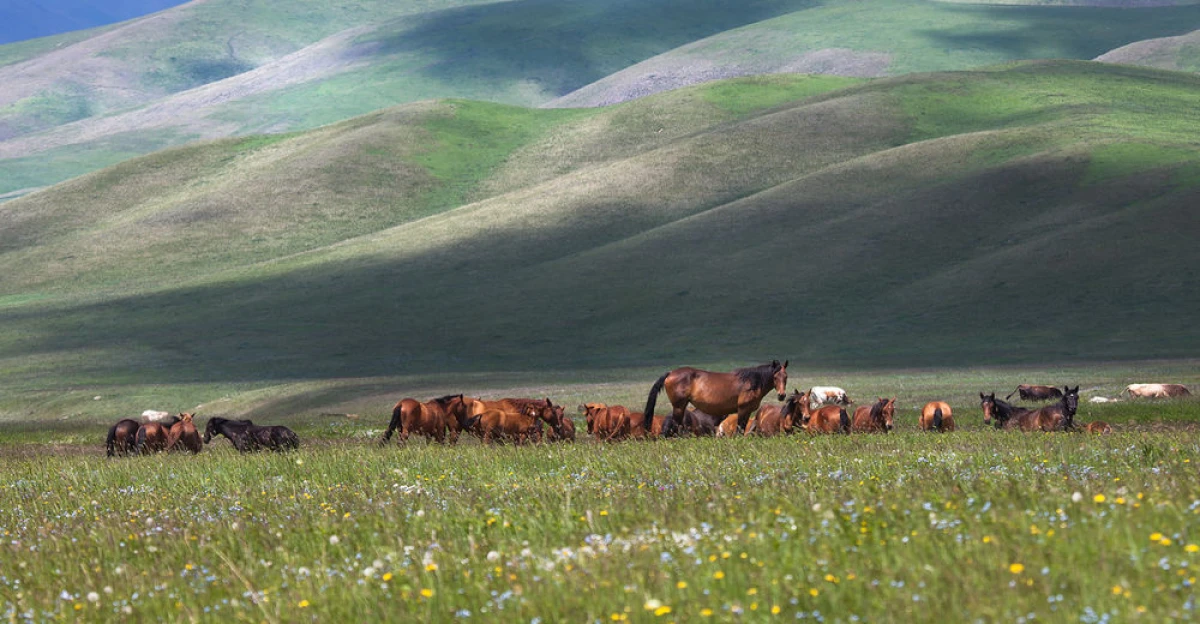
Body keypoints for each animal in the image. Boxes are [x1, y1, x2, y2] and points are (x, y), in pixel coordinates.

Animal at [648, 357, 787, 436]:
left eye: (785, 377)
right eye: (775, 377)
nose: (782, 395)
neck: (750, 382)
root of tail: (670, 373)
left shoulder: (747, 412)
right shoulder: (742, 409)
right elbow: (739, 429)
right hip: (678, 407)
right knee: (675, 426)